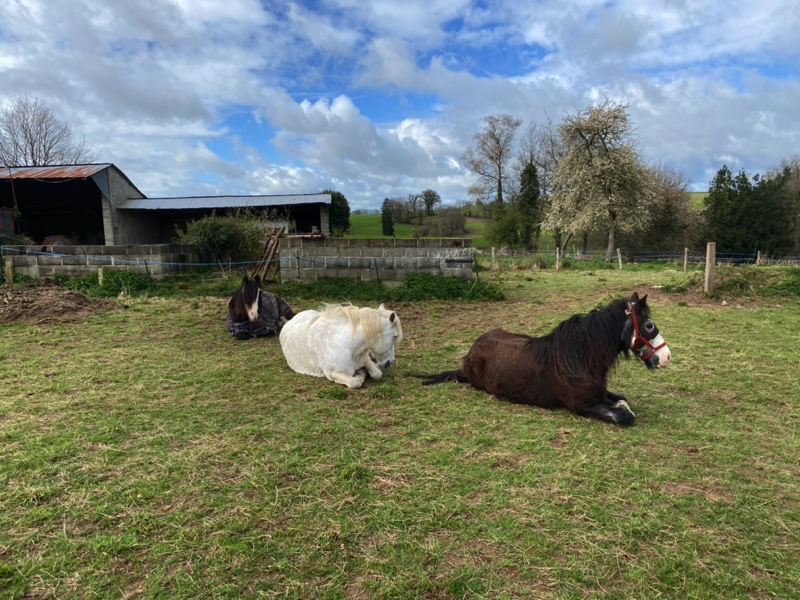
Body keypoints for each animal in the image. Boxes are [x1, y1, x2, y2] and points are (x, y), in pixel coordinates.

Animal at [415, 292, 670, 424]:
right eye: (649, 325)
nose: (666, 357)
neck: (579, 358)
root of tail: (470, 352)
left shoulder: (601, 393)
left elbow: (621, 400)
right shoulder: (582, 406)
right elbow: (625, 415)